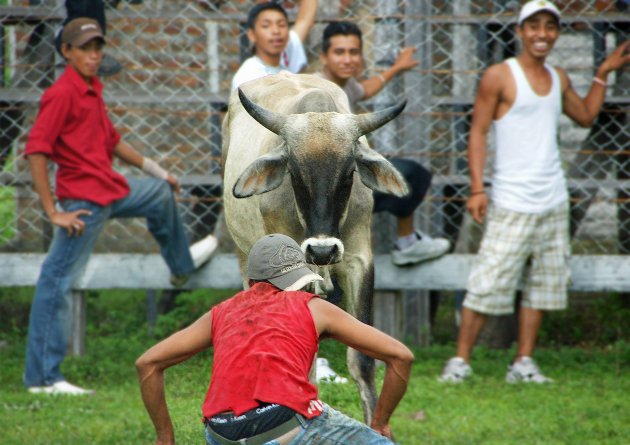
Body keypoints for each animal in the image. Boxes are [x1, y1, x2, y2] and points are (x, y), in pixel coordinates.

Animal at [222, 71, 410, 422]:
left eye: (349, 172)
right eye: (294, 173)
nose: (322, 251)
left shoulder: (359, 261)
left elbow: (362, 359)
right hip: (244, 257)